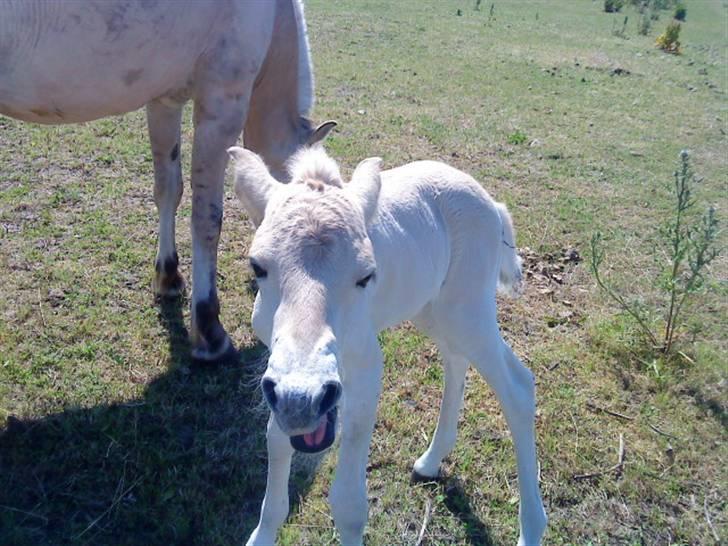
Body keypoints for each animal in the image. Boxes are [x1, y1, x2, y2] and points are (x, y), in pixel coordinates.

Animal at [0, 1, 336, 362]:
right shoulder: (220, 108)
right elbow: (206, 220)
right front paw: (209, 331)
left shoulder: (164, 101)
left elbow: (168, 191)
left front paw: (168, 276)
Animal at [229, 146, 544, 544]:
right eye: (257, 266)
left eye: (367, 275)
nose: (304, 398)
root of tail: (492, 203)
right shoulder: (278, 368)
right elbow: (277, 439)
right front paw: (263, 533)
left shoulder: (365, 360)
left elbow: (348, 505)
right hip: (431, 308)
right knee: (455, 360)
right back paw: (431, 460)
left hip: (468, 308)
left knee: (517, 386)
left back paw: (531, 528)